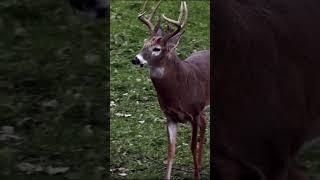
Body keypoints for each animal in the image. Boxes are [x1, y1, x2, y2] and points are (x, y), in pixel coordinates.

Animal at [132, 0, 210, 179]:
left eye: (157, 49)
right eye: (144, 44)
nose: (135, 59)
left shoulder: (194, 112)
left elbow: (191, 146)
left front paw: (196, 175)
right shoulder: (170, 116)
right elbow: (171, 151)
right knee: (205, 122)